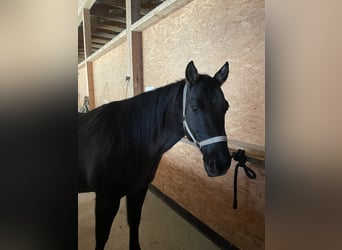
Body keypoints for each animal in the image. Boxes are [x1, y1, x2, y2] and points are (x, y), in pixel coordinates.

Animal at [78, 61, 231, 250]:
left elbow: (134, 222)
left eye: (225, 107)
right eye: (194, 107)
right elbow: (102, 238)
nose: (221, 163)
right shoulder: (106, 199)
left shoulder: (138, 190)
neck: (125, 140)